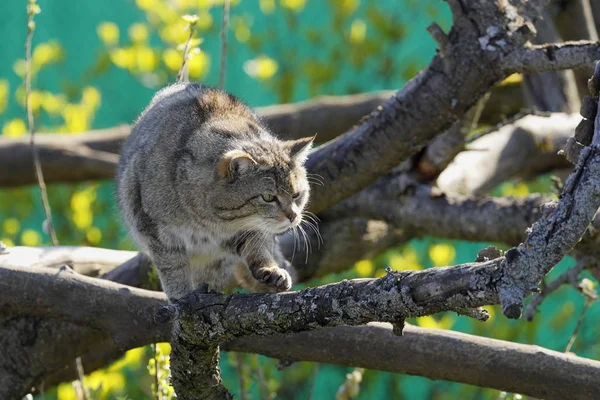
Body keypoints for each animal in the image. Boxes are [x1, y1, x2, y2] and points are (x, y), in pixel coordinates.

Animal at [117, 82, 314, 300]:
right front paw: (181, 294)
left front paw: (269, 269)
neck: (211, 222)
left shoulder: (246, 232)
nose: (293, 216)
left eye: (296, 195)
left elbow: (257, 247)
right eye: (268, 197)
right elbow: (172, 266)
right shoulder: (154, 229)